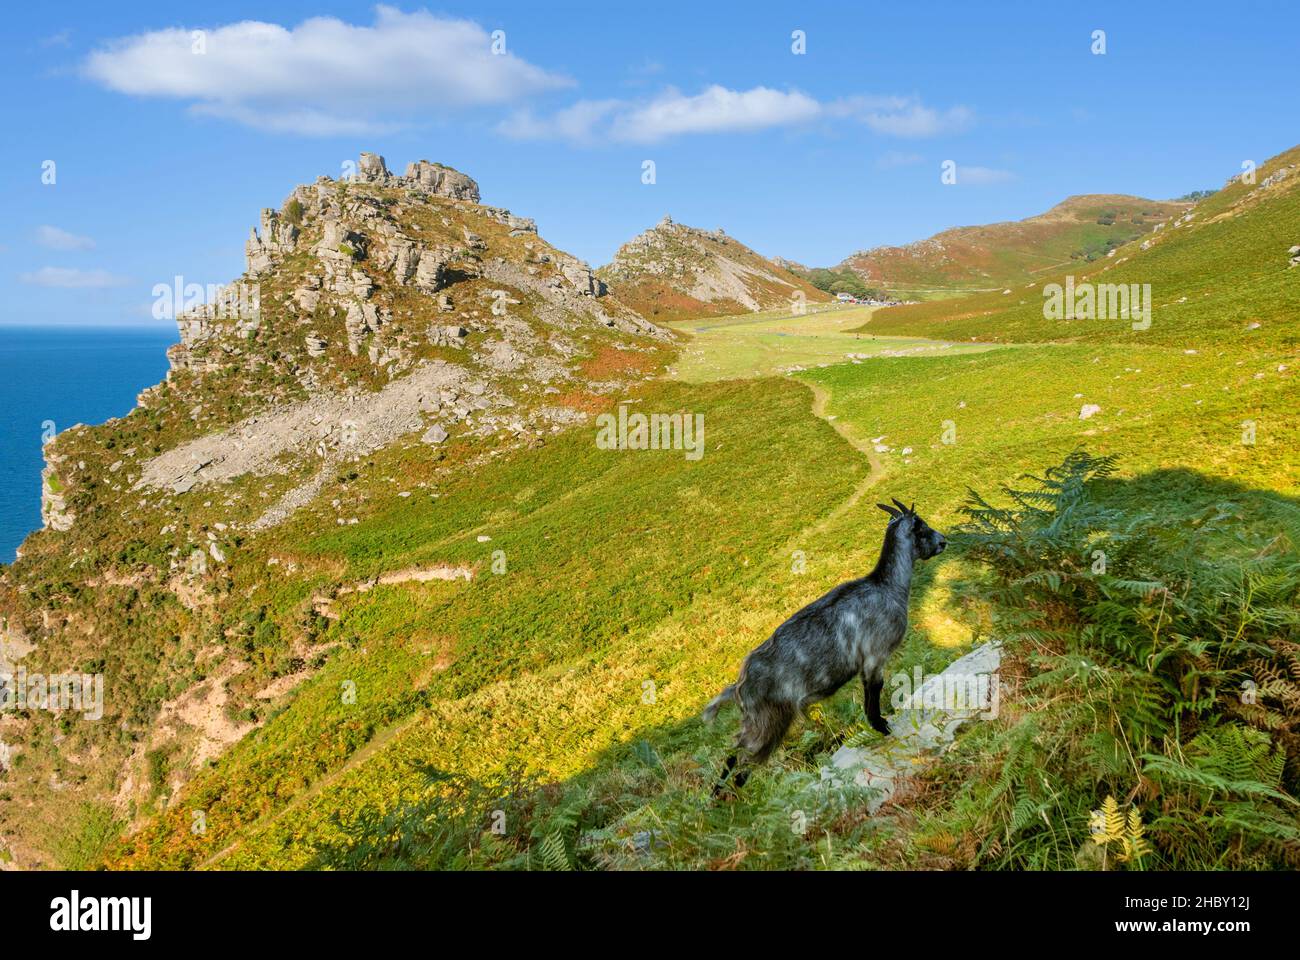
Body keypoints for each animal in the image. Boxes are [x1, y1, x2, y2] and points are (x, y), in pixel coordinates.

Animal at [712, 496, 946, 790]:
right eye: (921, 526)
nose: (944, 541)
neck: (887, 587)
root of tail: (739, 687)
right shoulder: (874, 655)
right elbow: (874, 692)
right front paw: (881, 727)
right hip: (768, 721)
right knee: (740, 758)